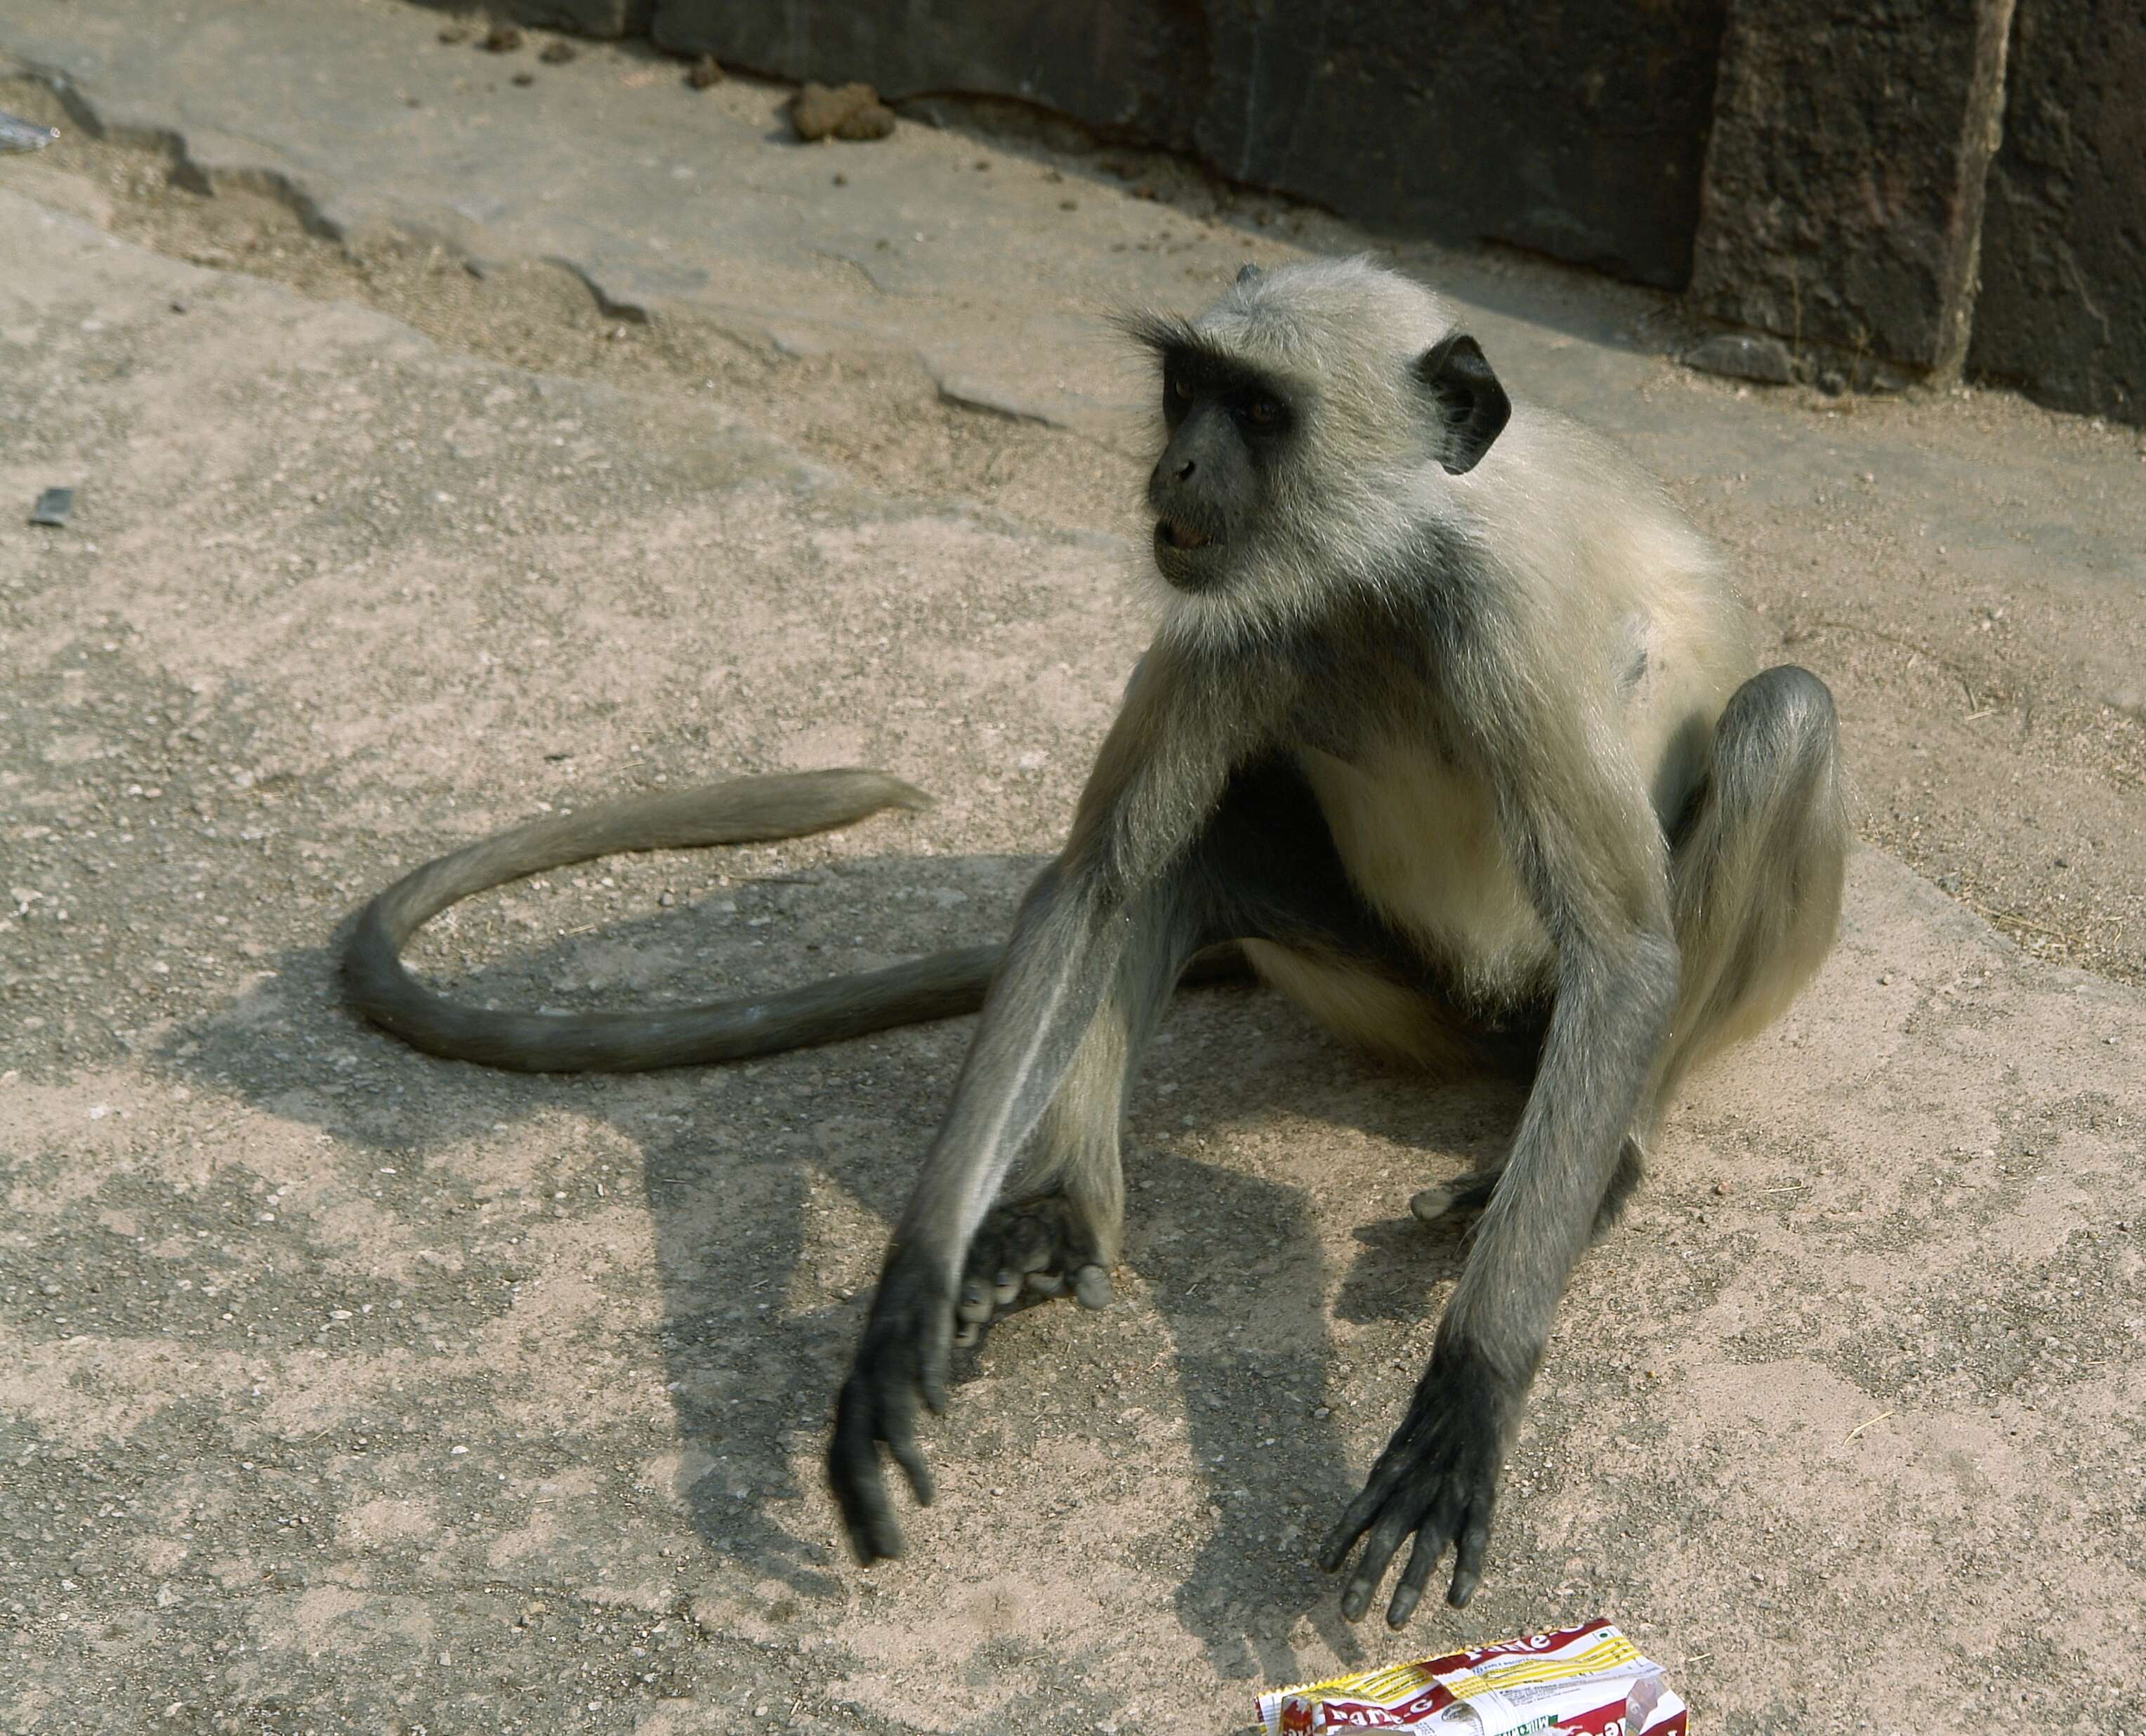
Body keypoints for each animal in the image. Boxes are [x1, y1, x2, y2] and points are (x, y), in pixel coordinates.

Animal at [343, 254, 1854, 1622]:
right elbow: (1088, 890)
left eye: (1258, 414)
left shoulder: (1498, 620)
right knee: (1173, 857)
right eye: (1186, 392)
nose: (1175, 467)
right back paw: (1064, 1211)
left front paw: (1467, 1394)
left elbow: (1623, 950)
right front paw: (904, 1295)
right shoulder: (1226, 607)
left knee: (1779, 717)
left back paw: (1609, 1161)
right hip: (1378, 973)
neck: (1381, 565)